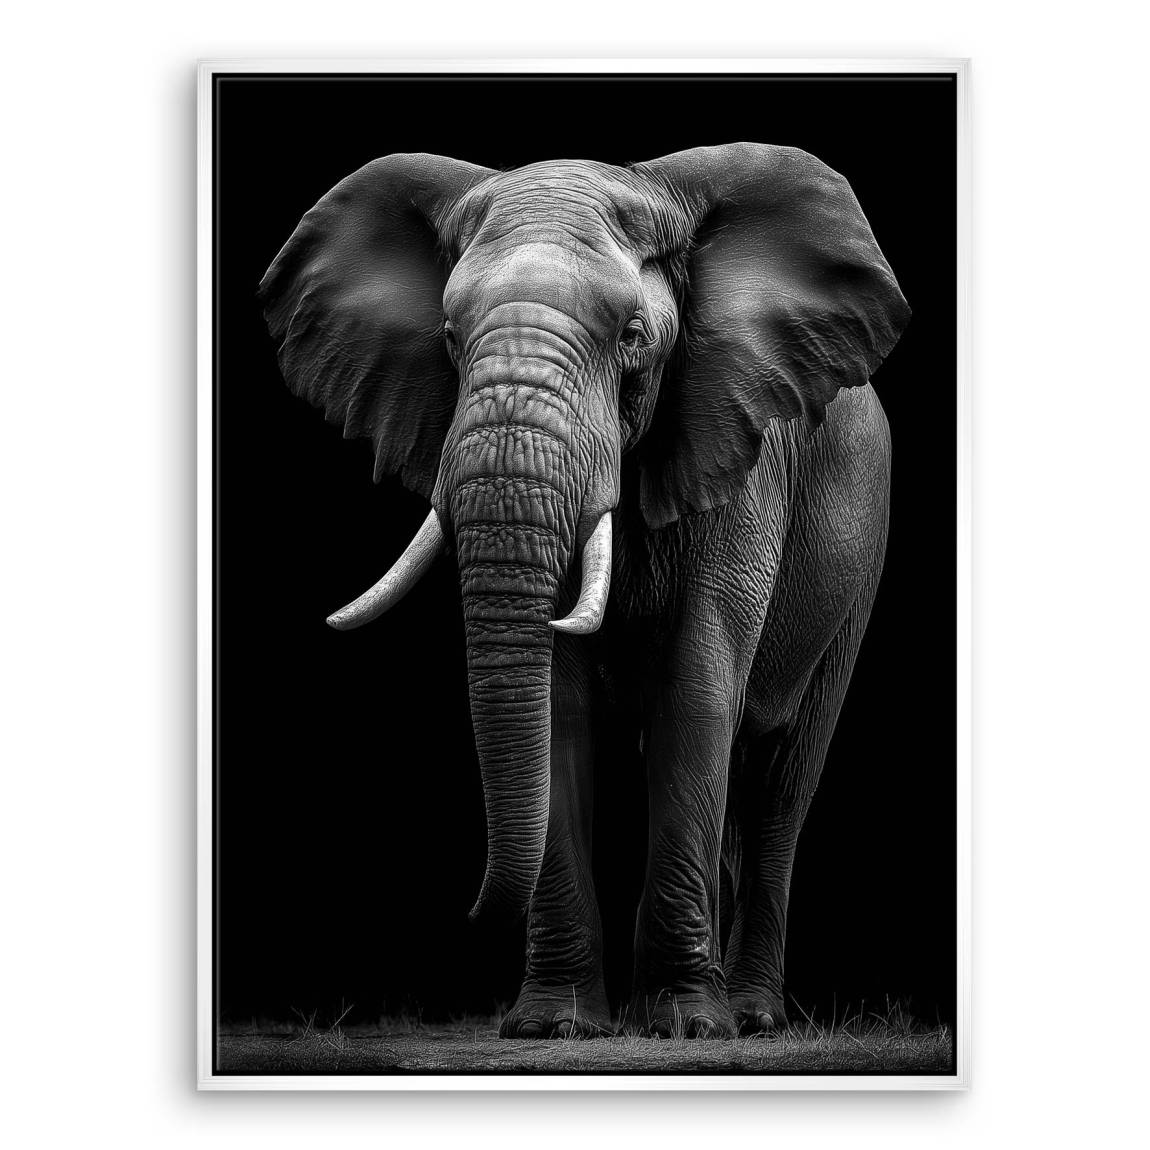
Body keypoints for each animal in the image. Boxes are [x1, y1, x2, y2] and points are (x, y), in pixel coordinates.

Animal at [260, 142, 909, 1039]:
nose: (464, 912)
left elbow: (697, 687)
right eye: (450, 338)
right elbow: (558, 706)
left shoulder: (737, 452)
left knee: (781, 777)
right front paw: (553, 1025)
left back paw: (749, 1015)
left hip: (860, 549)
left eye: (633, 337)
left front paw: (686, 1027)